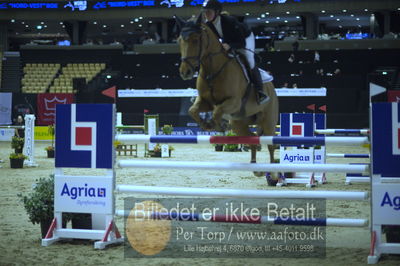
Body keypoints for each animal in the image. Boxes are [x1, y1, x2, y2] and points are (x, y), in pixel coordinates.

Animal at [177, 16, 280, 183]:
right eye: (179, 40)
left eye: (195, 39)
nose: (185, 72)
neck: (212, 69)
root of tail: (271, 86)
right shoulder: (205, 102)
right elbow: (193, 110)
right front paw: (207, 125)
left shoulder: (234, 102)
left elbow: (217, 111)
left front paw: (218, 126)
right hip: (239, 123)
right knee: (252, 139)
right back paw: (256, 169)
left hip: (269, 120)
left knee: (270, 145)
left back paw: (274, 175)